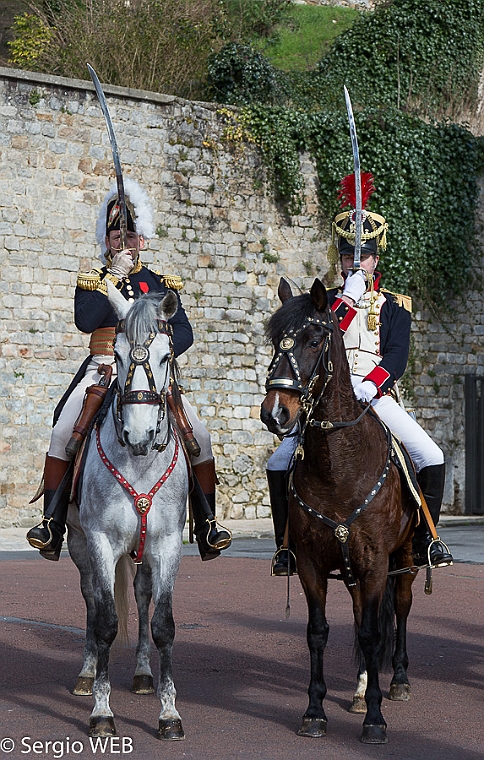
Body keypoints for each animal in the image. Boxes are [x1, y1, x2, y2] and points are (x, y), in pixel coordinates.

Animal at [67, 282, 188, 740]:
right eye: (117, 356)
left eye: (166, 356)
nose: (139, 434)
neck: (138, 461)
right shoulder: (100, 541)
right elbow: (104, 621)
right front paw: (101, 711)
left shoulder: (168, 545)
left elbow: (163, 624)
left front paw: (169, 713)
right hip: (79, 544)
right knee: (90, 598)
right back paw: (87, 675)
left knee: (141, 595)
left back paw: (142, 674)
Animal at [260, 278, 416, 744]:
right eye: (275, 340)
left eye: (314, 340)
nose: (275, 414)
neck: (339, 465)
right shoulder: (312, 562)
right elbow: (318, 632)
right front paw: (314, 711)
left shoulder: (377, 562)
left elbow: (372, 632)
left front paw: (376, 721)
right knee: (362, 612)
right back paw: (362, 691)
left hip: (403, 559)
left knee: (399, 610)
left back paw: (397, 682)